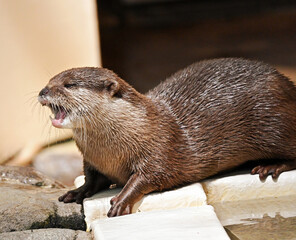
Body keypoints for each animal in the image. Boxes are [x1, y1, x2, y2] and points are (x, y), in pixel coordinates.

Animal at [38, 58, 296, 218]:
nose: (43, 91)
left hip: (274, 124)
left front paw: (121, 200)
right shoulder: (92, 161)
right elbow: (92, 179)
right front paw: (78, 192)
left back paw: (270, 166)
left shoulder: (160, 150)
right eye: (50, 80)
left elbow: (148, 177)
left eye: (69, 84)